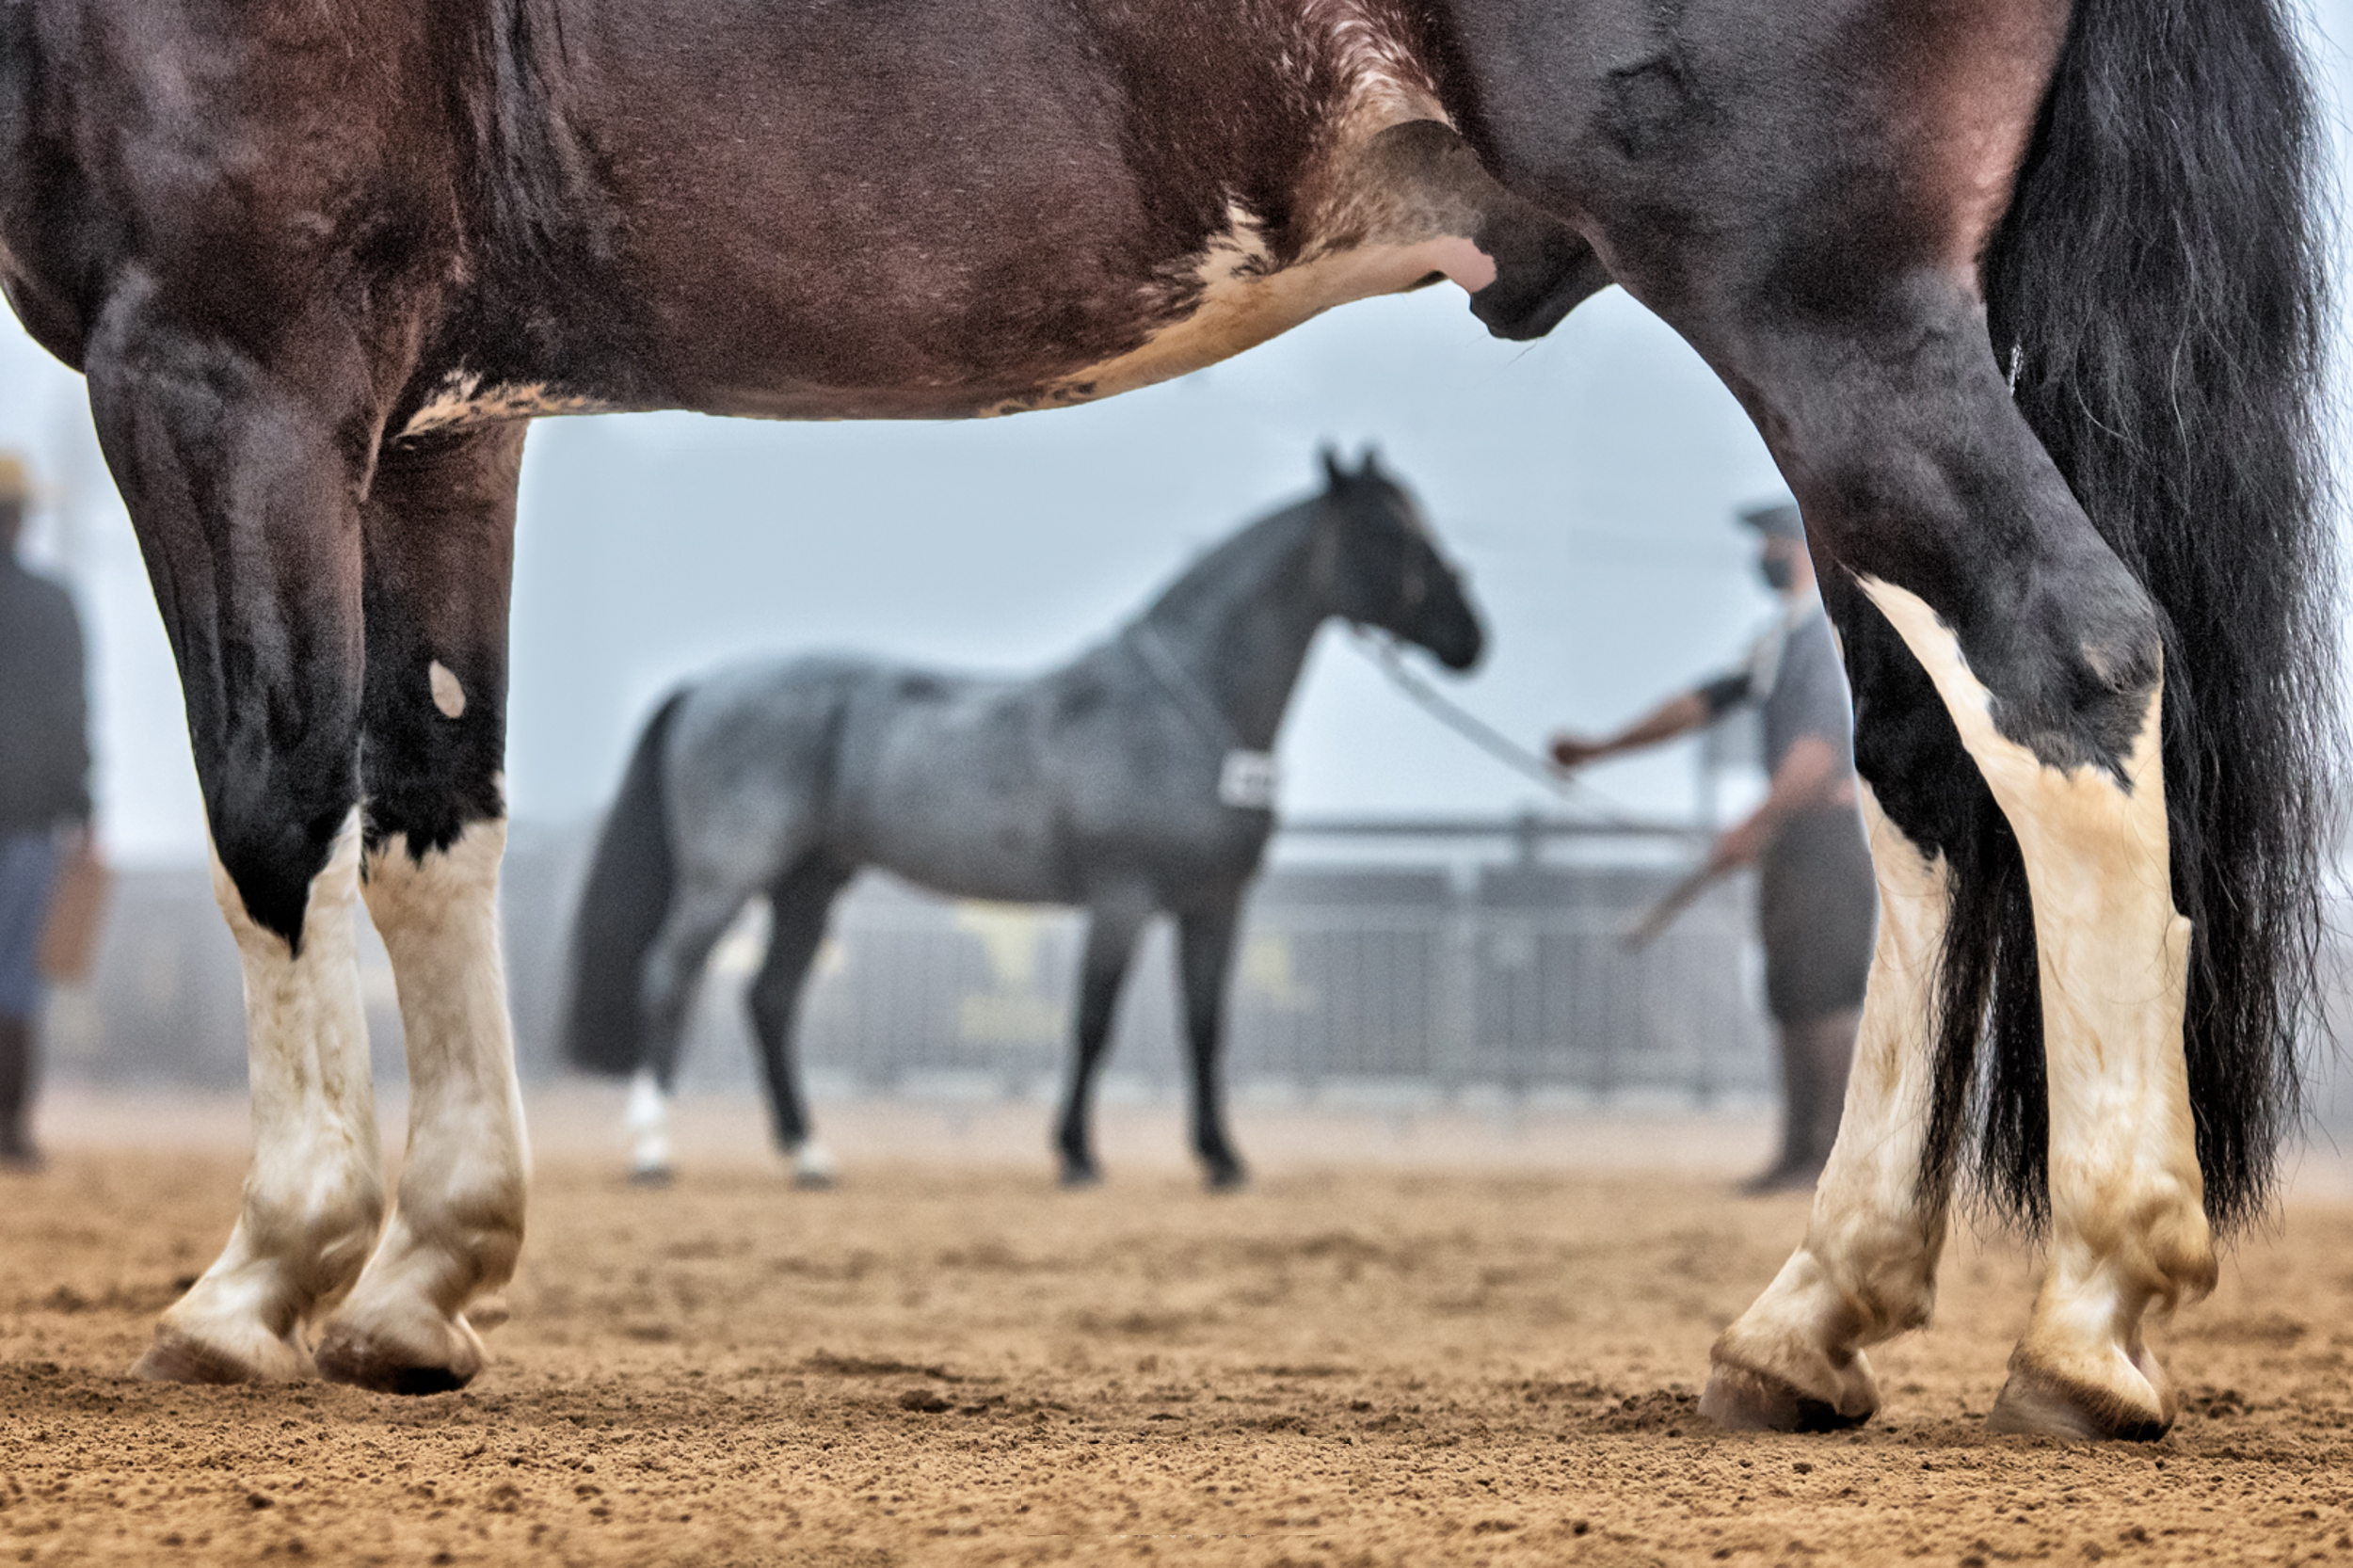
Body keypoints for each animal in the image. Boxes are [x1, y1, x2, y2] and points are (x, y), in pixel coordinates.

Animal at [560, 449, 1478, 1186]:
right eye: (1390, 532)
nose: (1473, 639)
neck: (1181, 712)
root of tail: (707, 684)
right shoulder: (1121, 898)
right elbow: (1094, 1023)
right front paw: (1076, 1154)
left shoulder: (1217, 905)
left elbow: (1205, 1030)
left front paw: (1221, 1159)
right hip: (728, 876)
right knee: (669, 977)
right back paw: (653, 1151)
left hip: (809, 884)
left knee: (769, 1000)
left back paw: (809, 1156)